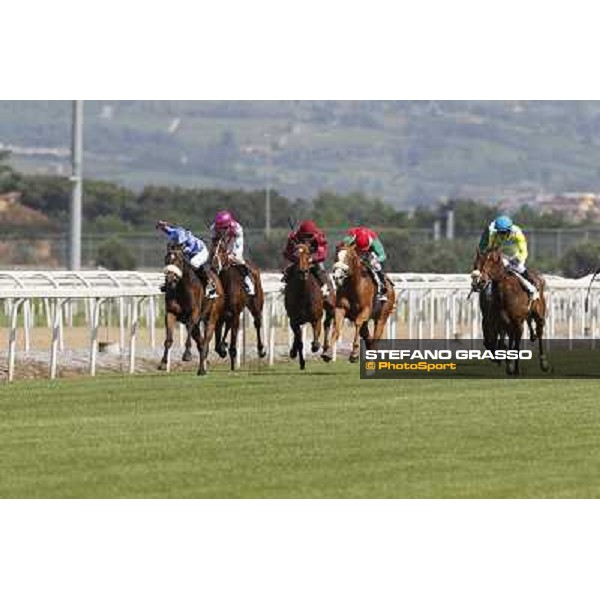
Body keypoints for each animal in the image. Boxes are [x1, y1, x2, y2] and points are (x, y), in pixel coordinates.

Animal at [159, 244, 225, 376]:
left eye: (179, 260)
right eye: (166, 259)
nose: (169, 279)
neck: (181, 289)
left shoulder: (194, 313)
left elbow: (189, 329)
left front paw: (187, 355)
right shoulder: (170, 313)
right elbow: (168, 339)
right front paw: (163, 363)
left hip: (211, 318)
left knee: (205, 341)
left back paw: (202, 368)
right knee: (201, 343)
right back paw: (202, 368)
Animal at [212, 239, 266, 370]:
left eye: (222, 249)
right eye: (212, 246)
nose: (215, 265)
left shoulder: (236, 314)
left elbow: (233, 343)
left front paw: (232, 364)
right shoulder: (219, 315)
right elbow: (217, 344)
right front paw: (222, 348)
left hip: (256, 305)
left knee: (257, 323)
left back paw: (261, 350)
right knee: (228, 326)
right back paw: (224, 344)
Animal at [472, 248, 552, 376]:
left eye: (490, 264)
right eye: (476, 265)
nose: (479, 282)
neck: (506, 293)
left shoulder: (518, 322)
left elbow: (516, 344)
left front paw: (516, 369)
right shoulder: (501, 321)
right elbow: (504, 341)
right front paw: (509, 365)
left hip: (539, 314)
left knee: (539, 332)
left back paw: (544, 363)